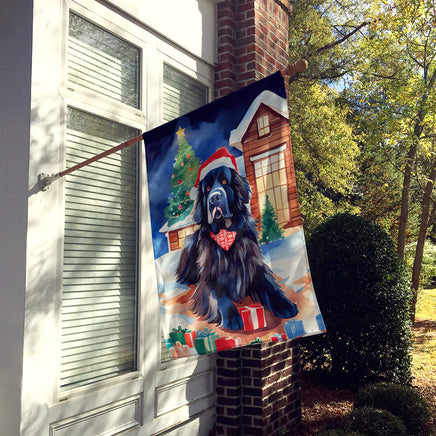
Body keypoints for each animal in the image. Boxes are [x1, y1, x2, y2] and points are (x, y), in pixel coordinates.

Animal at [175, 146, 298, 330]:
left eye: (225, 182)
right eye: (207, 188)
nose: (214, 198)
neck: (226, 233)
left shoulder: (254, 268)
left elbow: (271, 286)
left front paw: (285, 304)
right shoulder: (208, 279)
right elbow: (218, 295)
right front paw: (232, 317)